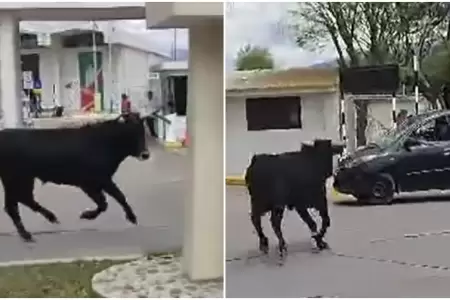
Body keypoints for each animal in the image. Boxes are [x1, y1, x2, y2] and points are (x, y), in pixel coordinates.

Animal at [0, 111, 161, 243]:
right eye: (129, 132)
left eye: (142, 130)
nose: (145, 154)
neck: (103, 142)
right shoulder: (95, 181)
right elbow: (111, 199)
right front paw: (88, 215)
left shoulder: (97, 182)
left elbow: (110, 200)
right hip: (15, 178)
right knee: (14, 205)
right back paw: (26, 234)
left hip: (23, 179)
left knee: (22, 200)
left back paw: (49, 219)